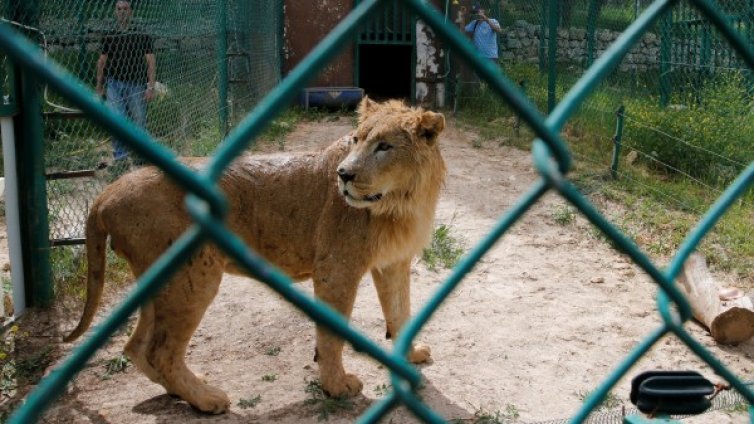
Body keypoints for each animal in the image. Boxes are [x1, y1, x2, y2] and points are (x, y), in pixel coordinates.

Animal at [64, 97, 446, 412]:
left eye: (384, 146)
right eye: (356, 140)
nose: (344, 174)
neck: (399, 202)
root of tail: (108, 192)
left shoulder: (393, 262)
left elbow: (401, 312)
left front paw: (410, 356)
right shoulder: (337, 267)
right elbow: (332, 334)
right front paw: (337, 387)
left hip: (159, 282)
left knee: (136, 347)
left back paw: (183, 390)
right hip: (192, 276)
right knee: (161, 352)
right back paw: (207, 400)